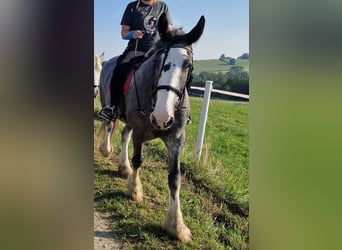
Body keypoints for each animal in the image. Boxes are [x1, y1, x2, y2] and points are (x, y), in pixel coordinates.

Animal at [97, 13, 204, 242]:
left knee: (124, 135)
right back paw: (107, 150)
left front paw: (176, 226)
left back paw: (123, 167)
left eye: (188, 65)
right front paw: (134, 191)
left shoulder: (176, 139)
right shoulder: (139, 132)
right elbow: (138, 160)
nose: (162, 117)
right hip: (109, 105)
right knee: (109, 127)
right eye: (158, 61)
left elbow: (175, 177)